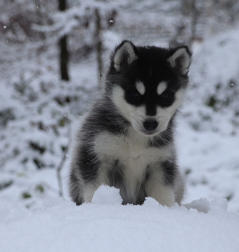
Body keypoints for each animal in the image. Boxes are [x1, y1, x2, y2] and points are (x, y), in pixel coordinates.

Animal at [70, 40, 191, 206]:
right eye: (134, 94)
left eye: (166, 96)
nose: (150, 123)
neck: (135, 139)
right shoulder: (97, 155)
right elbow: (94, 188)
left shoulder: (159, 163)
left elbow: (163, 195)